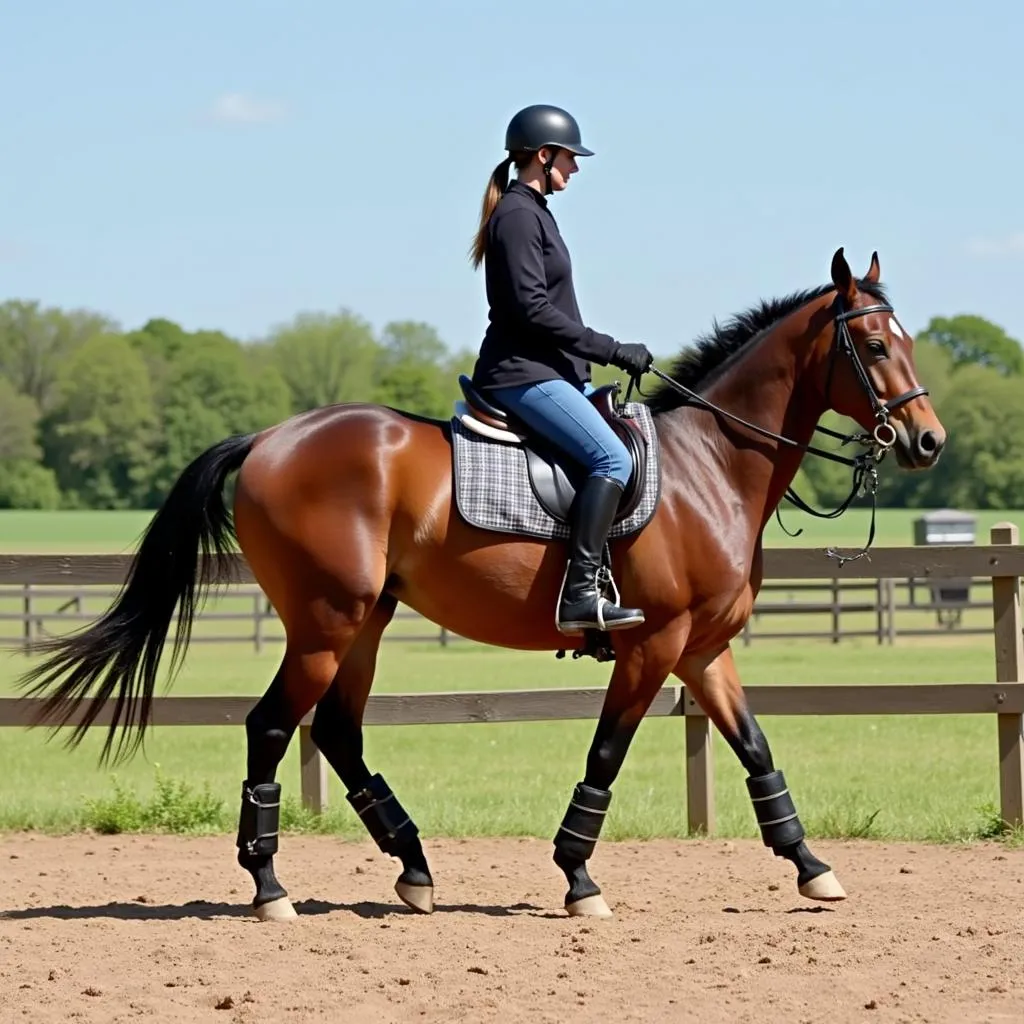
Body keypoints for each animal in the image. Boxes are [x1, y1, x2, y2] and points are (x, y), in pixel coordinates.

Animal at [16, 247, 942, 921]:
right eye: (873, 345)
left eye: (907, 341)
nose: (927, 441)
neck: (709, 467)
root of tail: (271, 439)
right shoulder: (654, 645)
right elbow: (607, 753)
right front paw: (578, 879)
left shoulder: (704, 650)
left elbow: (755, 749)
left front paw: (812, 867)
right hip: (325, 620)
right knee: (273, 726)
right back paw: (271, 887)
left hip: (365, 621)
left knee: (338, 732)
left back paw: (415, 870)